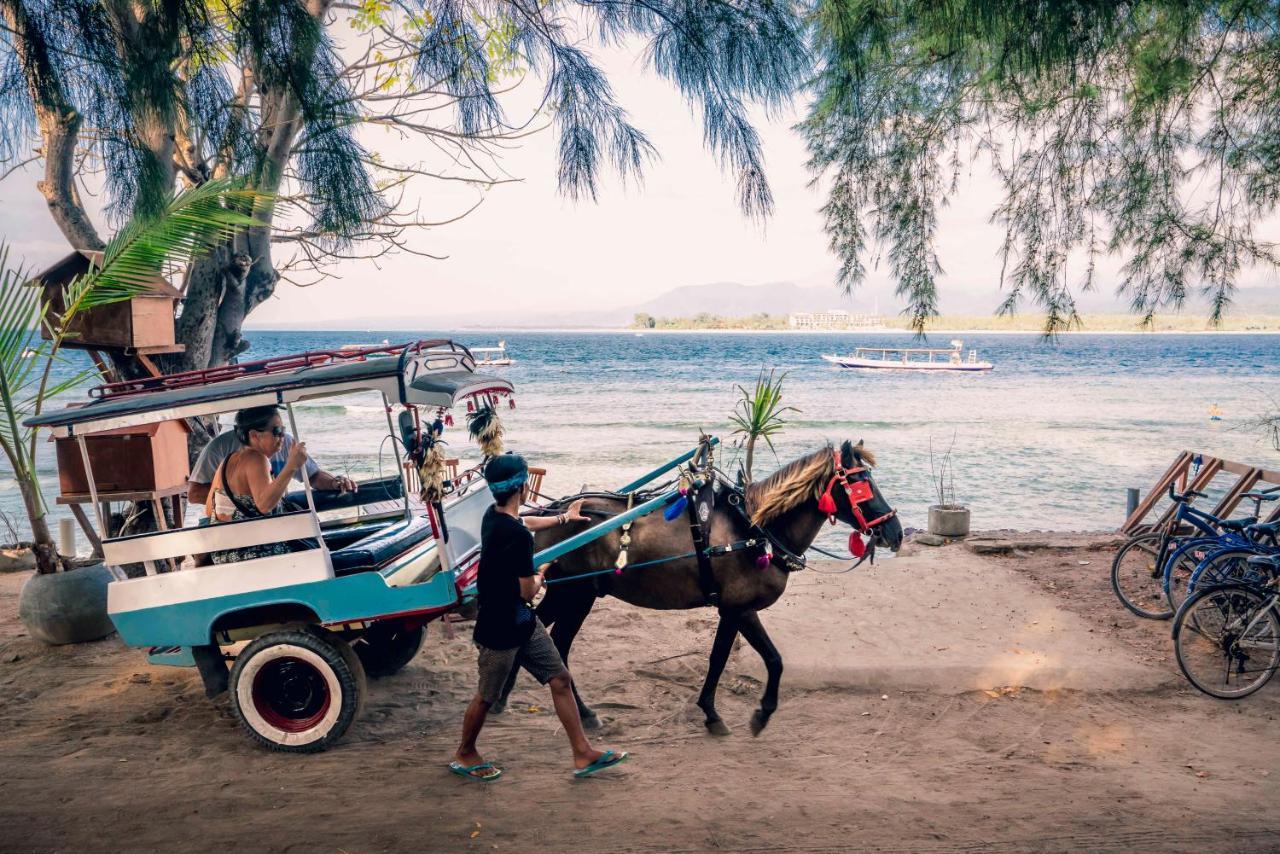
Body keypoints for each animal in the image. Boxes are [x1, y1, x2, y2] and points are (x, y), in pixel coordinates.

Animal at [494, 440, 906, 737]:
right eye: (860, 483)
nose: (895, 532)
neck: (753, 528)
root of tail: (552, 512)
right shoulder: (737, 608)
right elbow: (750, 658)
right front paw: (742, 713)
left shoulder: (736, 609)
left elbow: (743, 658)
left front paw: (725, 710)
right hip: (576, 594)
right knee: (555, 643)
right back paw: (581, 714)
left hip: (566, 591)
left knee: (536, 633)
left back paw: (505, 697)